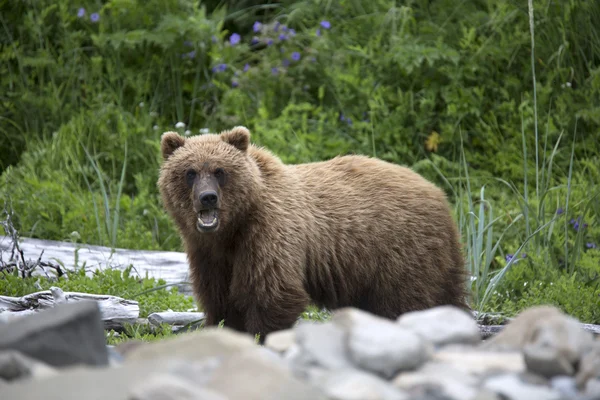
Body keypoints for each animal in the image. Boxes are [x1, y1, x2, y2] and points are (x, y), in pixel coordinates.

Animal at [158, 126, 468, 340]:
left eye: (219, 170)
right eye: (190, 172)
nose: (207, 198)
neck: (232, 228)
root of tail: (439, 194)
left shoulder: (269, 232)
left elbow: (273, 293)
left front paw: (260, 336)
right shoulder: (208, 253)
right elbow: (219, 298)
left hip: (400, 250)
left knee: (408, 301)